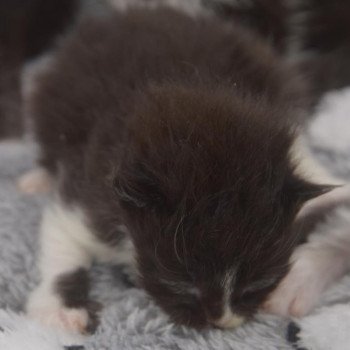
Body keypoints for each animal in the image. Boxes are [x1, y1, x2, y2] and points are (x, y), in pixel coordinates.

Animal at [23, 7, 336, 330]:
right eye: (183, 282)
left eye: (257, 282)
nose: (221, 320)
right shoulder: (88, 197)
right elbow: (62, 240)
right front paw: (59, 310)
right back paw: (38, 178)